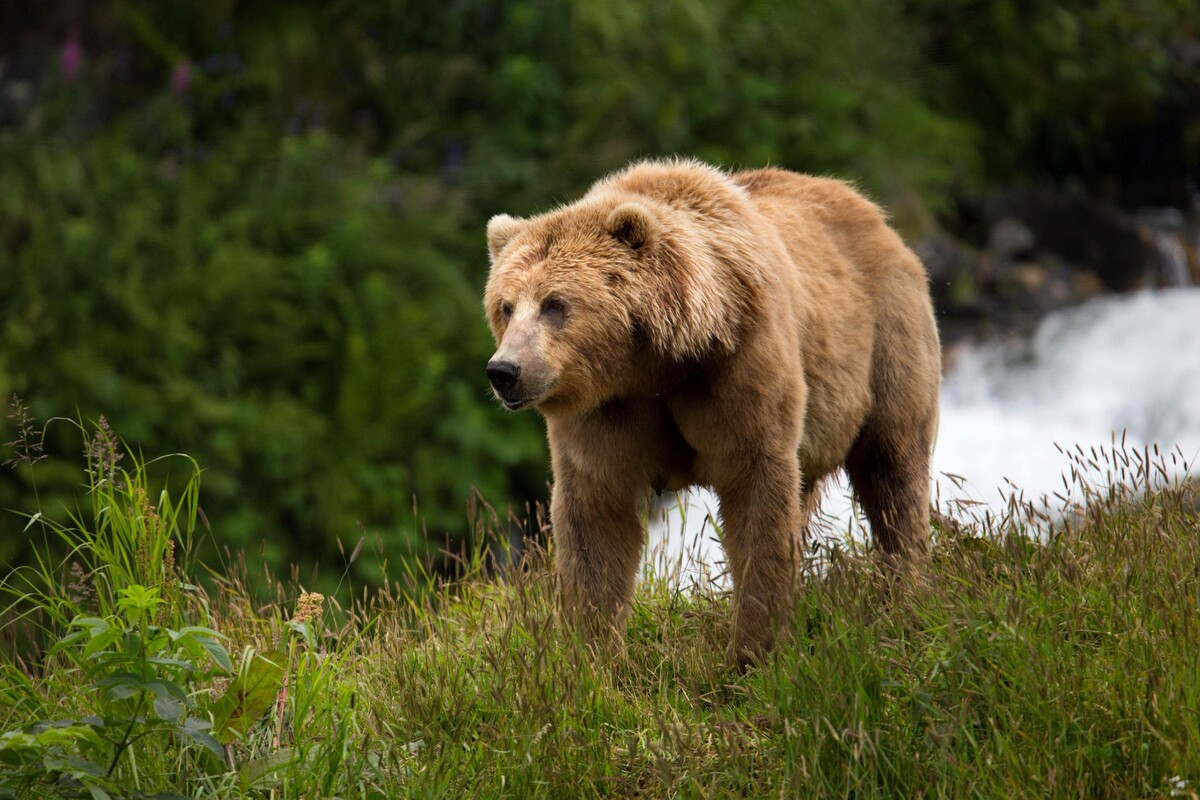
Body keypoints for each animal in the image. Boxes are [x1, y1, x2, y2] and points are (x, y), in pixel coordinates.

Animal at [482, 158, 940, 662]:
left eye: (555, 304)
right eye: (506, 306)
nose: (504, 370)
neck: (654, 364)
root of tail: (872, 212)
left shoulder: (739, 371)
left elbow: (757, 500)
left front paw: (753, 649)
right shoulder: (604, 411)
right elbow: (595, 519)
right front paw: (594, 652)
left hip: (886, 341)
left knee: (892, 472)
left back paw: (904, 593)